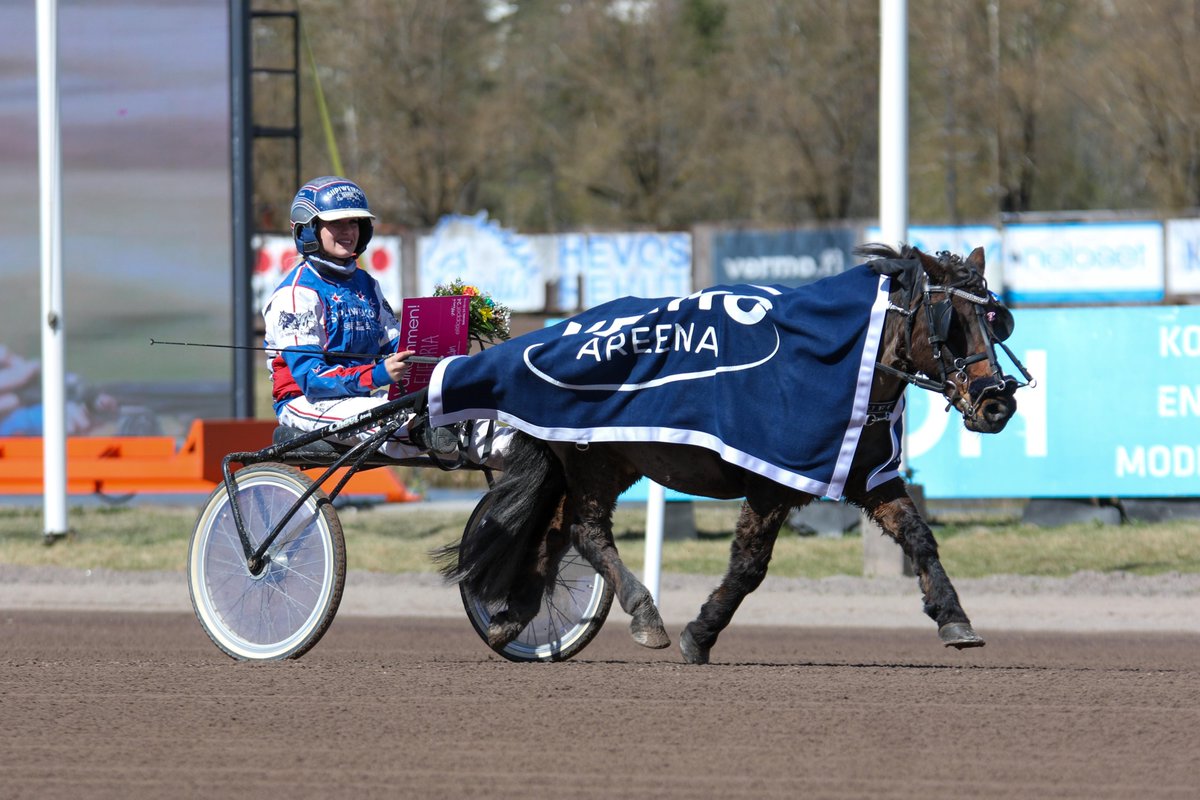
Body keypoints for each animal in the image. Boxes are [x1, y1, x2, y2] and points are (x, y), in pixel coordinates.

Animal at [439, 245, 1032, 662]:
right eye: (950, 322)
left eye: (996, 319)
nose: (997, 403)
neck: (848, 366)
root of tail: (555, 333)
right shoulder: (772, 483)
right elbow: (748, 566)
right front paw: (699, 635)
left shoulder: (866, 475)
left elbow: (919, 537)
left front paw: (953, 617)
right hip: (594, 458)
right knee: (585, 532)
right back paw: (644, 615)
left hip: (607, 461)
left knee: (556, 531)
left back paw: (513, 616)